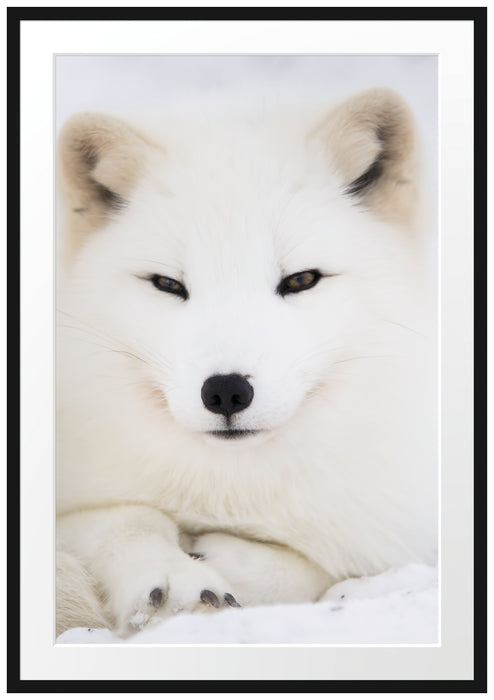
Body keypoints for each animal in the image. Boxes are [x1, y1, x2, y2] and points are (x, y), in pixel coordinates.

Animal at [56, 87, 437, 638]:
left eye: (301, 280)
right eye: (167, 284)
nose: (226, 391)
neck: (231, 487)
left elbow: (318, 569)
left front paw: (223, 563)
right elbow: (128, 518)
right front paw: (172, 580)